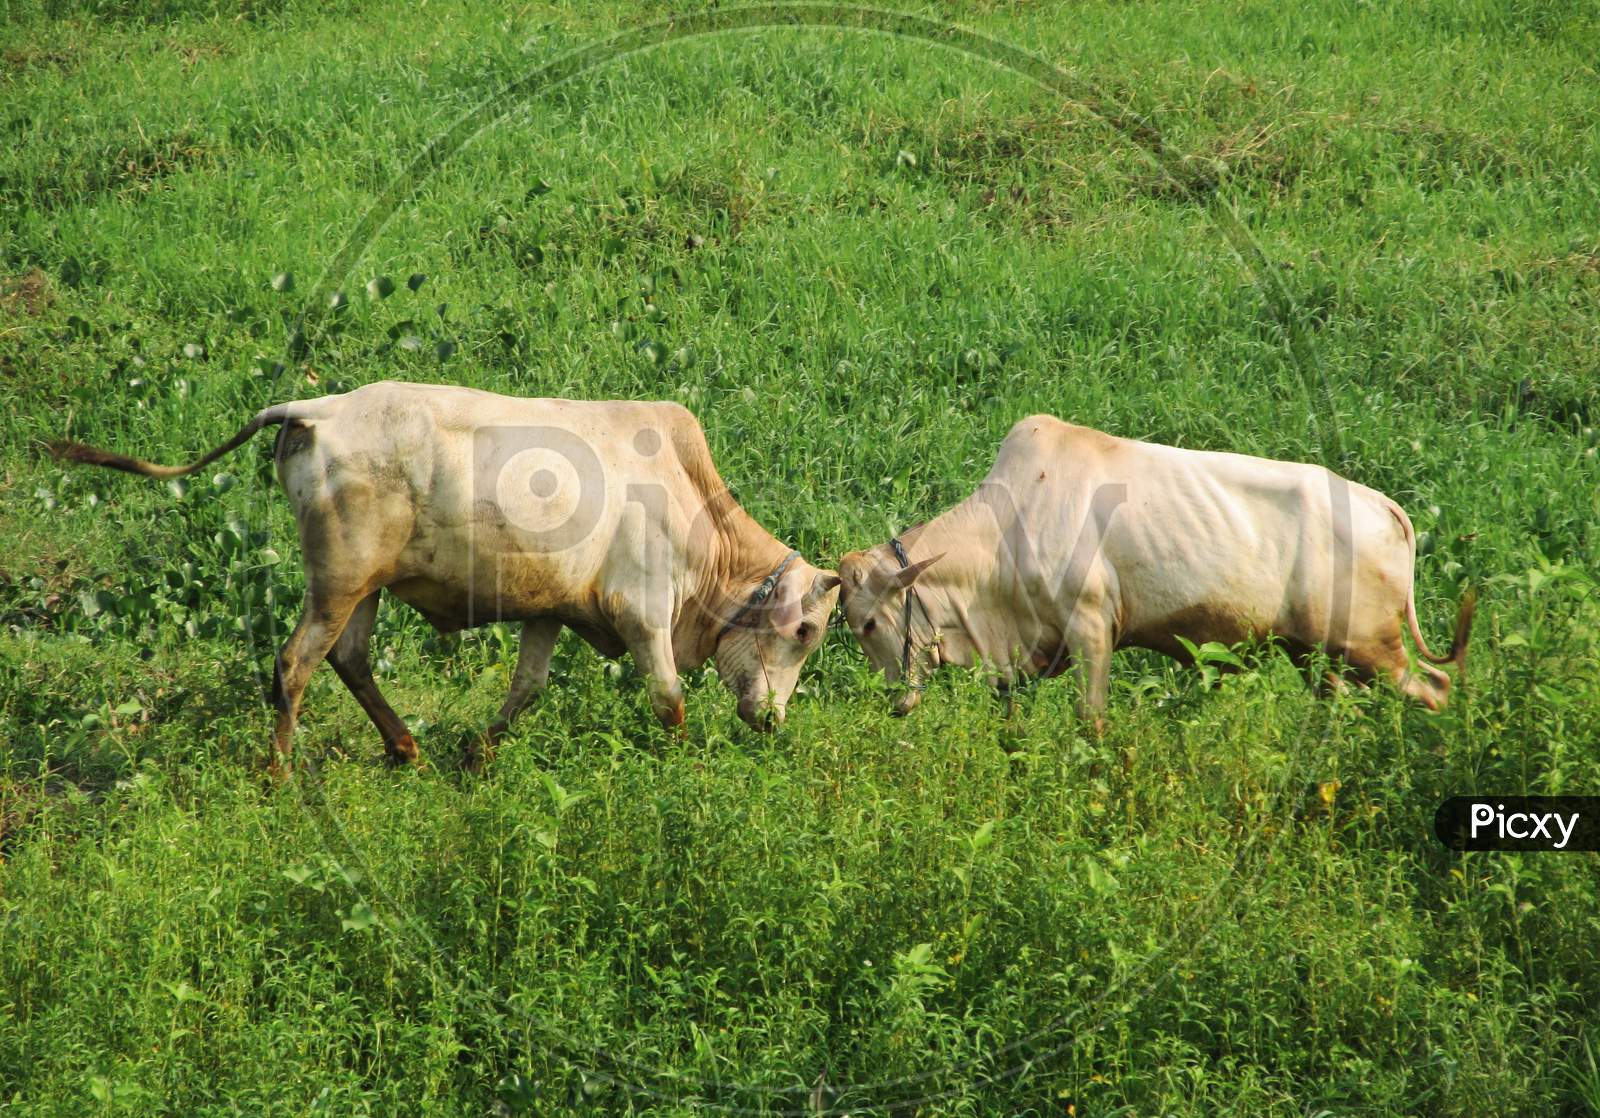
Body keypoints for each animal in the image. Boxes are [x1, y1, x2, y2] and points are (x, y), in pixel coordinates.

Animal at [56, 380, 844, 774]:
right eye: (804, 631)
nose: (772, 720)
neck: (693, 513)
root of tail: (320, 407)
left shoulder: (548, 610)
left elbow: (526, 689)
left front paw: (478, 755)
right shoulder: (644, 613)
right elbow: (669, 701)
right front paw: (683, 772)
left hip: (365, 589)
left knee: (350, 659)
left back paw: (406, 750)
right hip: (338, 580)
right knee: (294, 663)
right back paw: (279, 774)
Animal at [838, 412, 1472, 726]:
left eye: (868, 624)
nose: (897, 704)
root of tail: (1384, 506)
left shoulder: (1092, 630)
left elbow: (1090, 723)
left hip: (1368, 645)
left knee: (1435, 688)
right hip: (1314, 654)